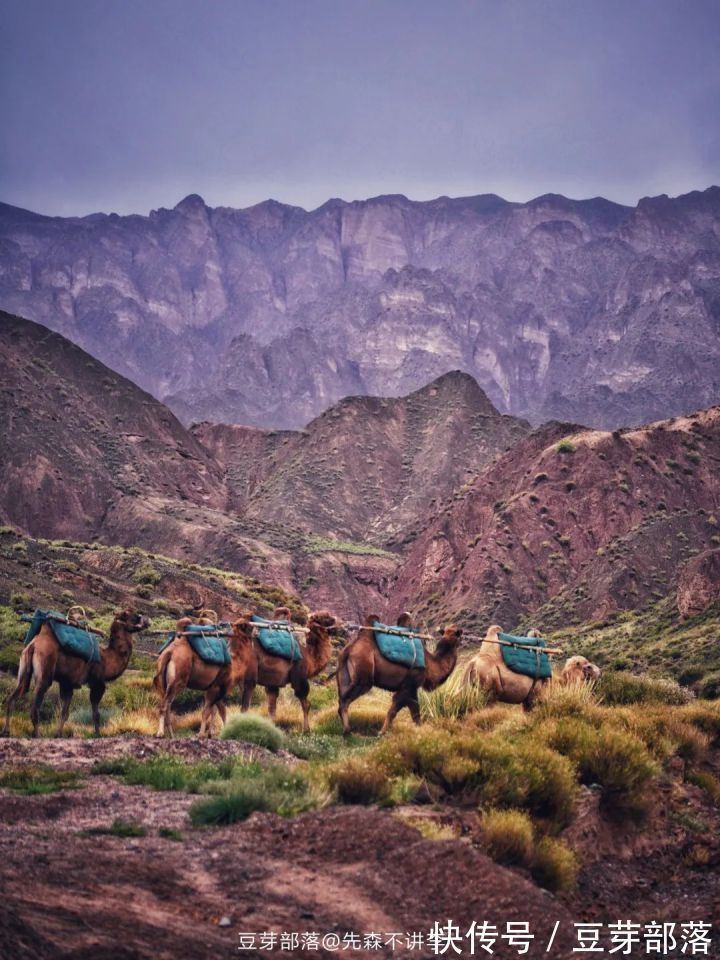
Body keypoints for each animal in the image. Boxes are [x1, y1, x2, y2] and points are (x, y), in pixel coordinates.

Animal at [1, 612, 150, 740]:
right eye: (131, 615)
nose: (147, 621)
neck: (108, 659)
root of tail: (34, 645)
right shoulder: (97, 683)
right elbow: (96, 714)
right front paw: (97, 734)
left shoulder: (66, 683)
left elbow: (64, 712)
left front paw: (58, 734)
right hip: (45, 670)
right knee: (35, 705)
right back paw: (37, 735)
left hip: (24, 666)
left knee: (14, 696)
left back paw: (6, 731)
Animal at [152, 612, 256, 740]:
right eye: (248, 626)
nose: (256, 632)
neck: (235, 663)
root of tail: (169, 653)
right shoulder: (216, 686)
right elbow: (207, 711)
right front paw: (201, 734)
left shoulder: (215, 689)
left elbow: (219, 711)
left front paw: (213, 734)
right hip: (178, 681)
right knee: (164, 706)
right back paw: (160, 733)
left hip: (163, 680)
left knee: (167, 705)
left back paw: (171, 735)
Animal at [248, 608, 338, 736]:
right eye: (324, 617)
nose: (335, 618)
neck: (310, 656)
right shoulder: (299, 678)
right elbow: (306, 704)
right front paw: (306, 730)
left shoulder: (272, 682)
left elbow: (271, 707)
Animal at [336, 616, 464, 736]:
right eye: (458, 633)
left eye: (455, 632)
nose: (462, 635)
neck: (431, 665)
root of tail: (349, 649)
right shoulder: (408, 685)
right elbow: (394, 710)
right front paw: (381, 733)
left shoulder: (412, 689)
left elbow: (416, 712)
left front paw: (421, 732)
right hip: (363, 677)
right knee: (345, 701)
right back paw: (348, 731)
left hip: (344, 674)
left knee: (341, 699)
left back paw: (345, 729)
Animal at [458, 628, 600, 708]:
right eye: (588, 666)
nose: (599, 672)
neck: (560, 683)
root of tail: (472, 663)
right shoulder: (536, 698)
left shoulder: (527, 700)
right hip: (488, 690)